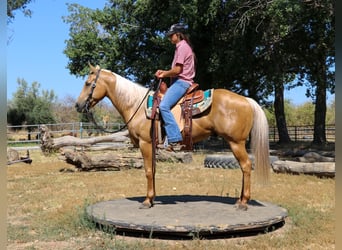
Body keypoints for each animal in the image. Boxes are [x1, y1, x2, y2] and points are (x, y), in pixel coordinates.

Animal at [75, 64, 270, 209]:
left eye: (88, 83)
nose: (78, 105)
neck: (136, 105)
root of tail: (246, 100)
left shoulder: (145, 143)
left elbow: (147, 171)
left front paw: (147, 201)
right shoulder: (152, 145)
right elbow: (153, 171)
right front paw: (152, 198)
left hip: (236, 142)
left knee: (246, 166)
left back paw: (243, 203)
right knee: (244, 168)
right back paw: (240, 200)